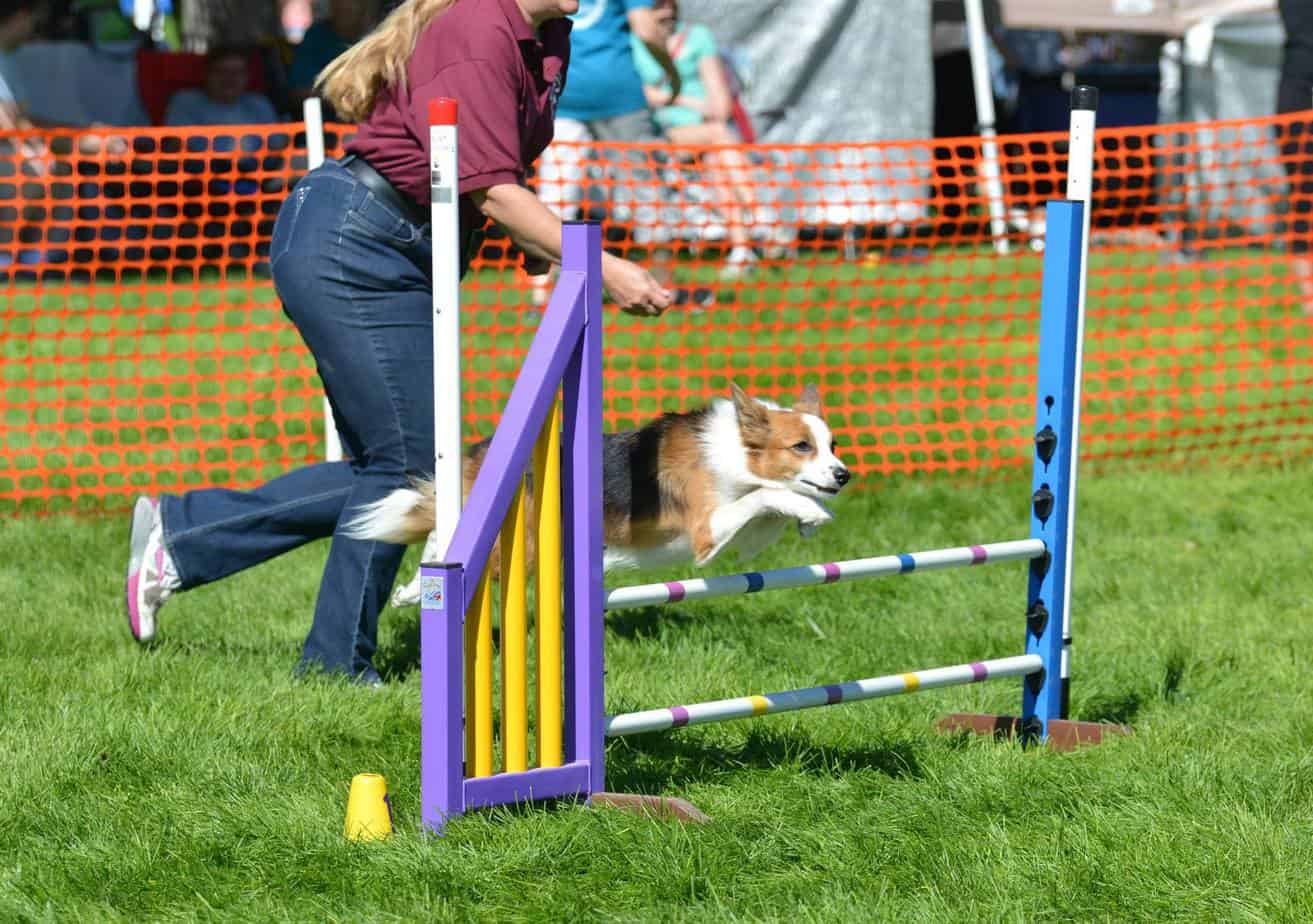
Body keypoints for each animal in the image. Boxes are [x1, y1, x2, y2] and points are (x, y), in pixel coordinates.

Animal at [349, 378, 850, 603]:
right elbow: (766, 496)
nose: (844, 475)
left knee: (437, 533)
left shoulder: (740, 537)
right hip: (516, 551)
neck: (737, 452)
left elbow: (771, 509)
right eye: (801, 446)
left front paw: (809, 517)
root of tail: (479, 452)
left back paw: (409, 590)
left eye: (833, 445)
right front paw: (813, 512)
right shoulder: (706, 530)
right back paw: (417, 590)